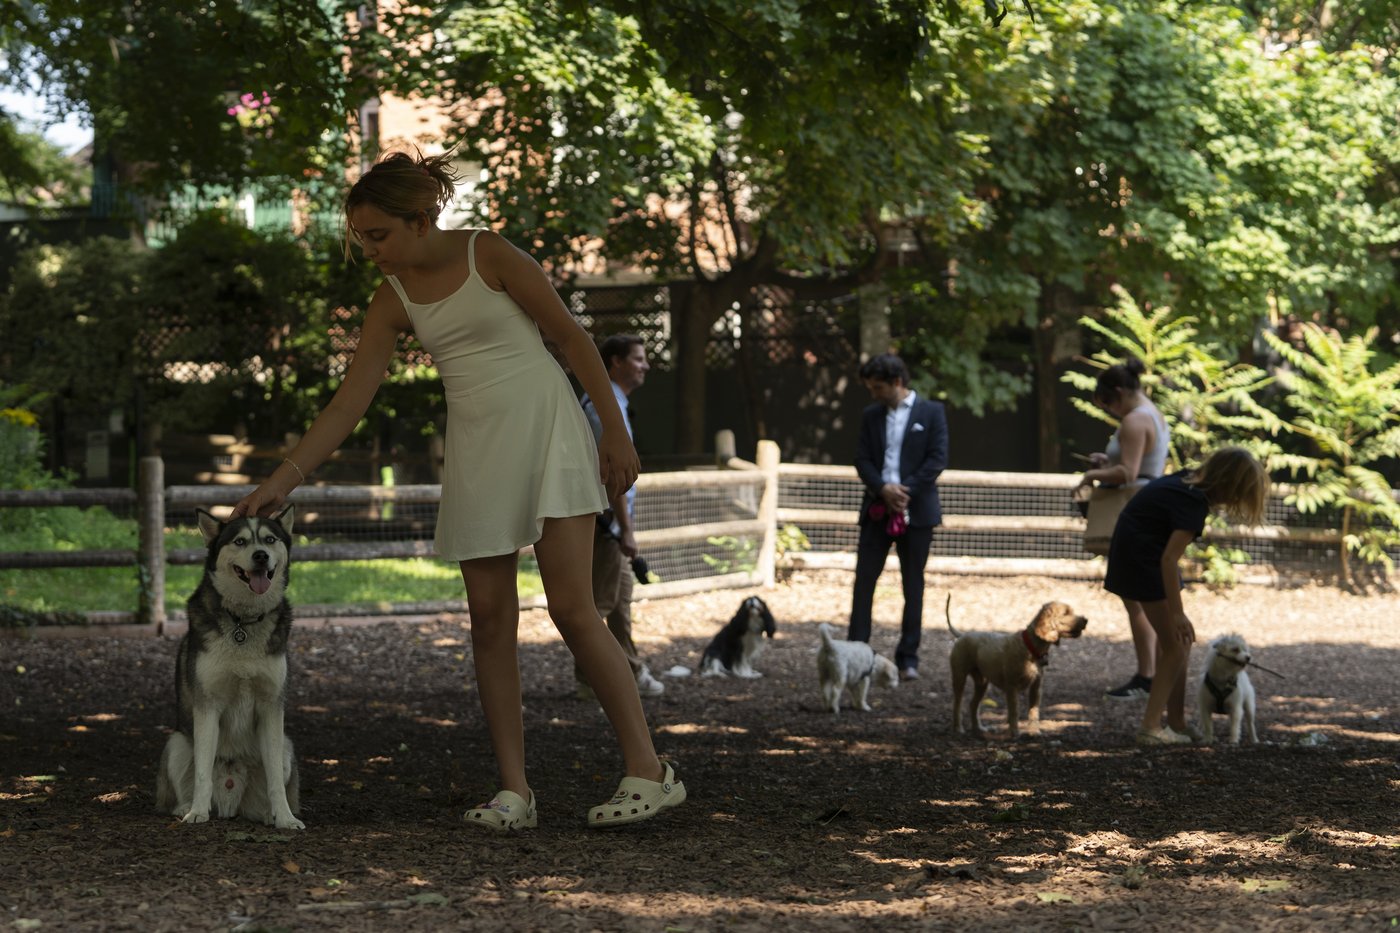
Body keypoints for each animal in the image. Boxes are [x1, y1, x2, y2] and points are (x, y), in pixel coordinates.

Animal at [156, 509, 303, 829]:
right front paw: (197, 813)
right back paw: (185, 807)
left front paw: (285, 818)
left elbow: (275, 778)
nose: (260, 556)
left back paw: (269, 814)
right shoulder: (207, 705)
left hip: (287, 744)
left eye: (270, 539)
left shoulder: (272, 707)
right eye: (240, 541)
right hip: (176, 743)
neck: (242, 623)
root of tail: (229, 802)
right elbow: (202, 773)